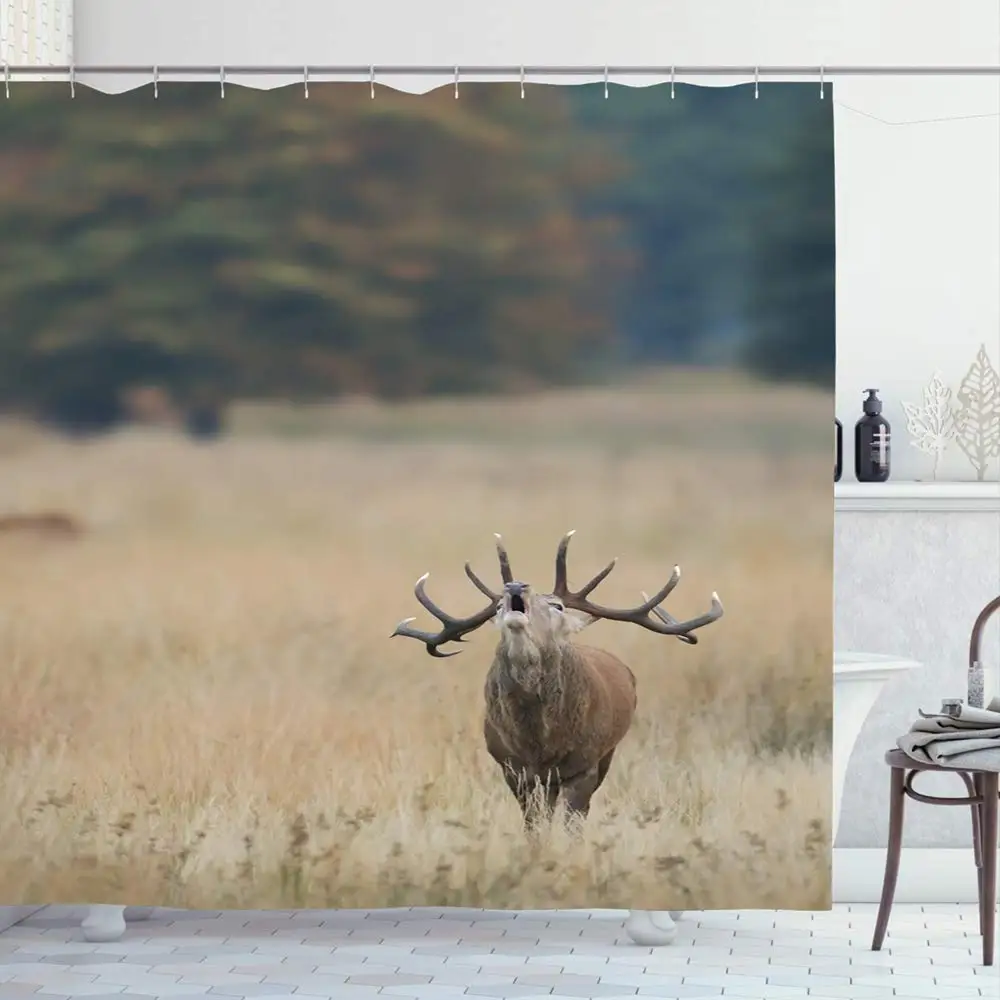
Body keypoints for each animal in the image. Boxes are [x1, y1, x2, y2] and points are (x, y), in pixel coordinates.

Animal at [391, 531, 723, 827]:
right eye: (497, 607)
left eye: (557, 605)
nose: (516, 585)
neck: (539, 740)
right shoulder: (512, 767)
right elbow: (534, 825)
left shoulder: (584, 764)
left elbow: (573, 823)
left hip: (605, 756)